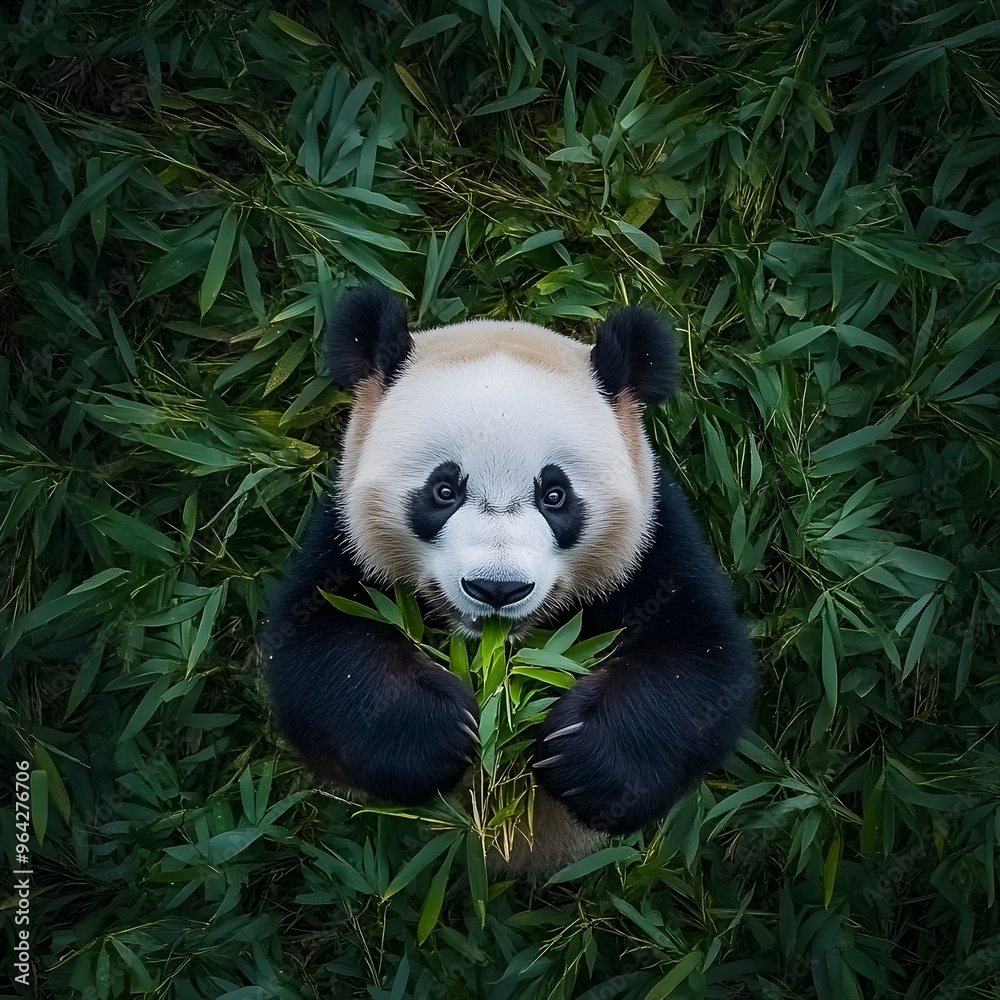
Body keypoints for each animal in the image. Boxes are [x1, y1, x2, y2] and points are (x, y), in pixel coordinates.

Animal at [261, 283, 755, 871]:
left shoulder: (652, 545)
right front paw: (439, 734)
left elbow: (701, 665)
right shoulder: (345, 542)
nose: (497, 589)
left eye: (555, 495)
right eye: (443, 490)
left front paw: (581, 754)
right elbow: (317, 655)